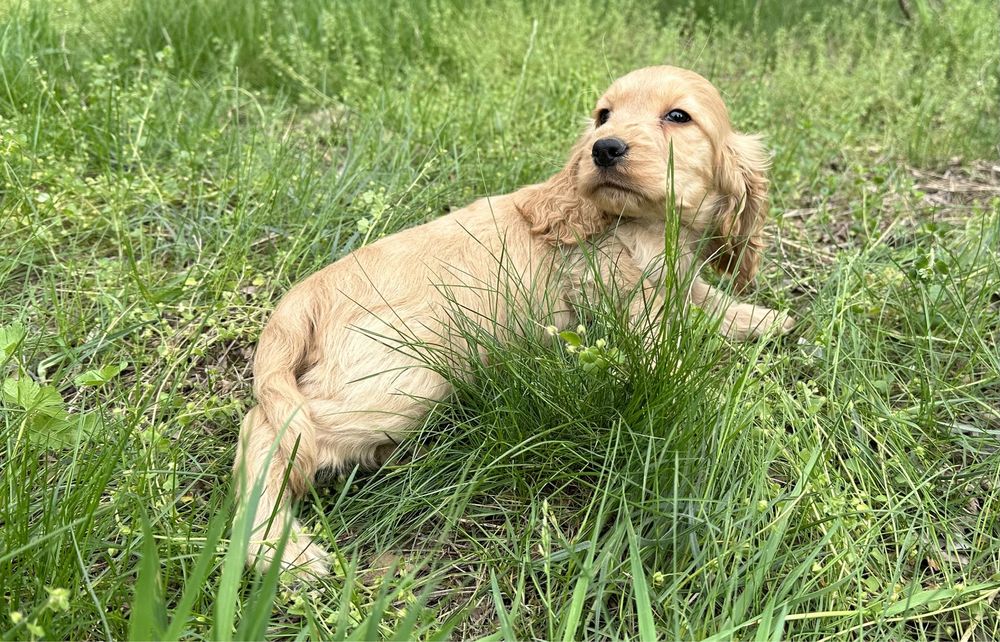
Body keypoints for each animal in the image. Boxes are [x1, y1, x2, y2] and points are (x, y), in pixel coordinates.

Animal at [238, 66, 792, 576]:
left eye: (678, 117)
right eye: (603, 116)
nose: (604, 149)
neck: (645, 224)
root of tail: (301, 298)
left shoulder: (671, 278)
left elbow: (703, 299)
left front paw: (765, 319)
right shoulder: (610, 289)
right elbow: (664, 347)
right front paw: (721, 400)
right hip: (401, 381)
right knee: (265, 429)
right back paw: (279, 549)